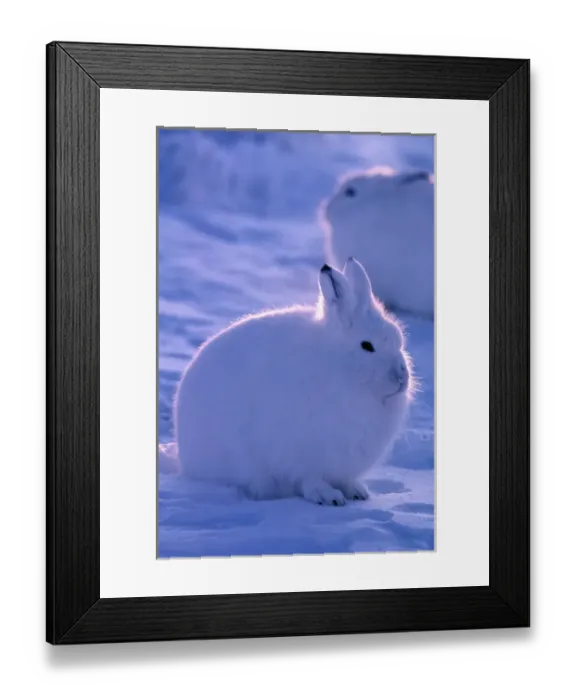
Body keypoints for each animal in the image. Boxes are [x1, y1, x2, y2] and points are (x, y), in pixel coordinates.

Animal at [174, 257, 413, 506]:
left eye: (398, 339)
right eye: (367, 346)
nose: (401, 378)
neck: (343, 367)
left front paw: (357, 492)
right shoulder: (303, 452)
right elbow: (310, 478)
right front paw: (328, 496)